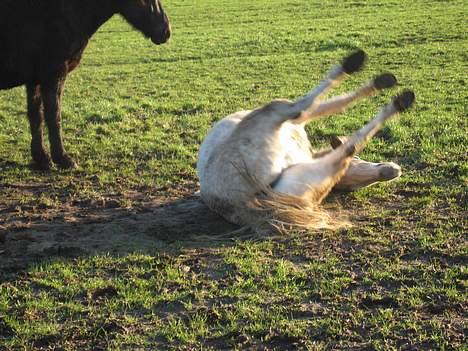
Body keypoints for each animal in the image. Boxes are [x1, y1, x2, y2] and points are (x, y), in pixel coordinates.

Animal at [0, 0, 172, 170]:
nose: (166, 31)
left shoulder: (35, 80)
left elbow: (36, 116)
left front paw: (42, 158)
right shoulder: (53, 76)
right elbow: (53, 116)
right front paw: (63, 158)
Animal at [196, 49, 414, 231]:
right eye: (361, 161)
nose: (392, 171)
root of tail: (237, 203)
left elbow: (334, 104)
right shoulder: (300, 119)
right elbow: (333, 105)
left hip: (304, 174)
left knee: (341, 145)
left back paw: (395, 95)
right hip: (274, 113)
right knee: (304, 109)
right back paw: (376, 78)